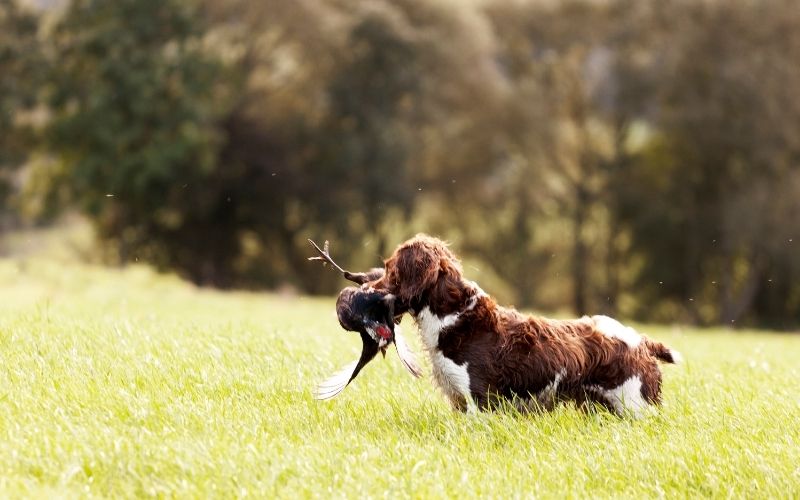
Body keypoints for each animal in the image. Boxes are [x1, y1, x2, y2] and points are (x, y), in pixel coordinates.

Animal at [368, 234, 680, 418]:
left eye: (391, 270)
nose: (366, 288)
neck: (453, 317)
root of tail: (642, 341)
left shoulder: (480, 400)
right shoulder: (459, 401)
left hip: (637, 406)